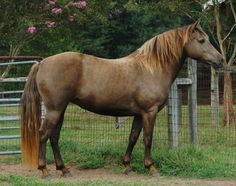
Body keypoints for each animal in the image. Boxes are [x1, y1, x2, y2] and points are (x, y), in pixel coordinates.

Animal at [19, 21, 223, 178]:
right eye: (201, 40)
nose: (220, 60)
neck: (151, 68)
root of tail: (42, 63)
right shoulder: (150, 112)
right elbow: (147, 139)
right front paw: (151, 168)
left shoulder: (139, 114)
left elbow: (133, 137)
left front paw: (127, 166)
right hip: (54, 109)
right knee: (44, 135)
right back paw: (45, 170)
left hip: (60, 109)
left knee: (54, 137)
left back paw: (64, 169)